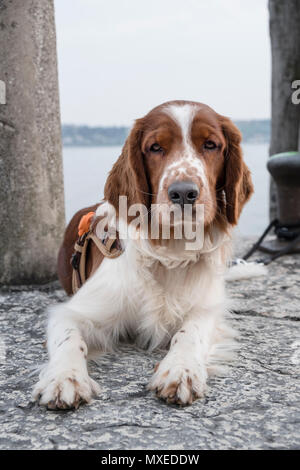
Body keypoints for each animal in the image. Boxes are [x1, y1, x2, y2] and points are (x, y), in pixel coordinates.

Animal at [32, 101, 253, 410]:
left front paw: (181, 370)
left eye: (210, 144)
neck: (170, 252)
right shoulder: (73, 311)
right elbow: (69, 337)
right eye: (155, 147)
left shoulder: (206, 308)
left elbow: (191, 332)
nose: (183, 193)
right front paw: (65, 378)